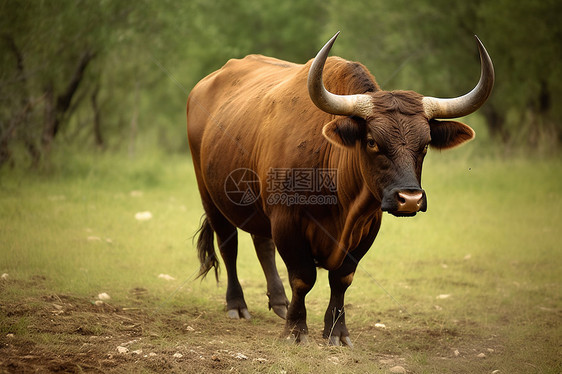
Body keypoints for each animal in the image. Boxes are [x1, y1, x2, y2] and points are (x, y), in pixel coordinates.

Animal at [187, 32, 490, 348]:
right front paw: (295, 330)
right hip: (210, 196)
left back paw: (280, 302)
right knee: (229, 245)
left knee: (262, 245)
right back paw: (237, 304)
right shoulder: (287, 222)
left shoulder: (367, 227)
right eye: (372, 141)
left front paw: (337, 331)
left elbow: (342, 279)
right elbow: (303, 278)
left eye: (426, 144)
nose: (410, 199)